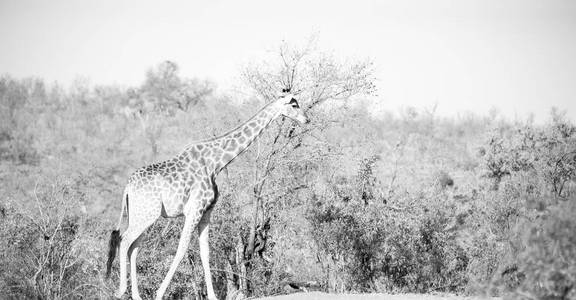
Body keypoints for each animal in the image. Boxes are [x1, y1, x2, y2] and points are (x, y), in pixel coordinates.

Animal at [106, 91, 308, 300]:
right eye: (294, 105)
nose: (306, 119)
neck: (215, 163)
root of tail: (127, 187)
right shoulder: (194, 209)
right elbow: (182, 248)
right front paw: (159, 293)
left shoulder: (207, 211)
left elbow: (205, 252)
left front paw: (212, 296)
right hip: (147, 214)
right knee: (125, 240)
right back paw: (121, 290)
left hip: (141, 214)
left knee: (134, 247)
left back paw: (136, 295)